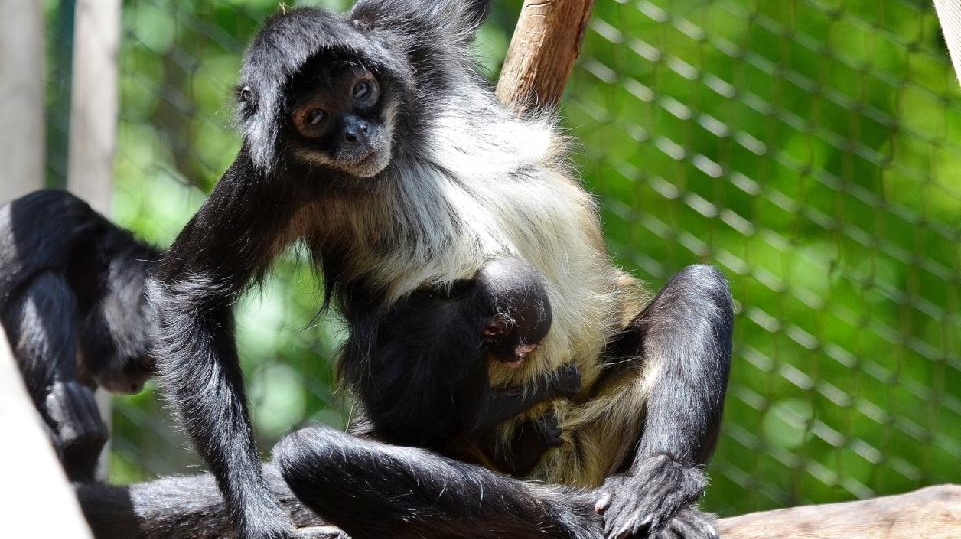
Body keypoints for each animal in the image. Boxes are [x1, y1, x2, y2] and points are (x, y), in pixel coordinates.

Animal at [148, 1, 736, 539]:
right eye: (314, 118)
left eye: (361, 90)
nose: (356, 133)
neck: (398, 142)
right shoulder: (273, 175)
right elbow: (188, 290)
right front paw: (257, 517)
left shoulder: (403, 33)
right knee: (311, 451)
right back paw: (572, 516)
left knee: (699, 287)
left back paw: (661, 484)